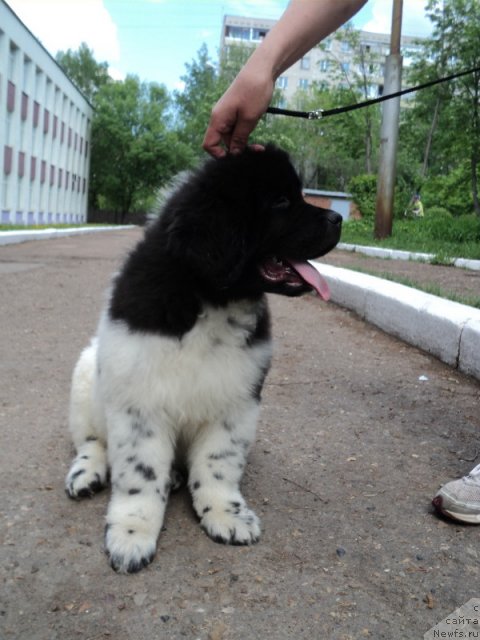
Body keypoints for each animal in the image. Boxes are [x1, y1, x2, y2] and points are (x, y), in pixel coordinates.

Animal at [65, 146, 342, 576]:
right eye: (281, 201)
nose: (338, 219)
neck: (208, 297)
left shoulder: (236, 398)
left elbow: (218, 463)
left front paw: (227, 515)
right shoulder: (139, 402)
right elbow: (140, 474)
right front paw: (131, 532)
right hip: (84, 377)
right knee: (91, 441)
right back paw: (86, 473)